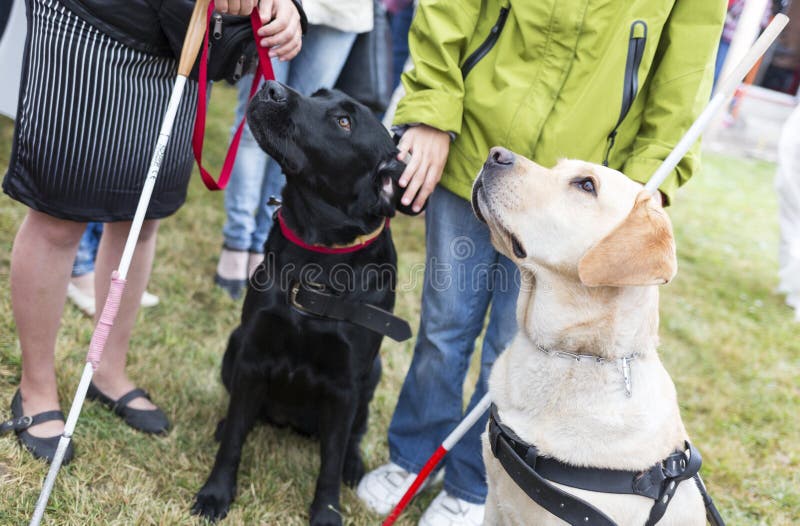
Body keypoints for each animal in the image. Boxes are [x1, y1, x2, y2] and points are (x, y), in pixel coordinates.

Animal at [192, 80, 418, 524]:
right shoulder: (252, 354)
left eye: (344, 122)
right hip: (233, 344)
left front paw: (327, 511)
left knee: (353, 438)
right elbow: (233, 443)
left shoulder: (346, 385)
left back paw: (354, 464)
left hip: (374, 374)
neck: (318, 259)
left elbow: (330, 461)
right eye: (319, 93)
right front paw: (216, 493)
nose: (271, 88)